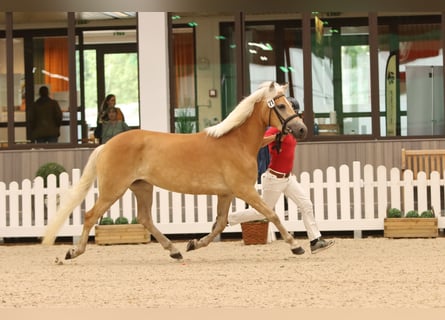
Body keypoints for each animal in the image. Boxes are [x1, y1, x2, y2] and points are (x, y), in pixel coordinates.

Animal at [41, 80, 306, 260]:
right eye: (281, 106)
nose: (301, 129)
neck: (236, 142)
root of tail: (107, 144)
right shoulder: (244, 190)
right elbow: (271, 214)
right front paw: (296, 245)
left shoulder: (226, 193)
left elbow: (220, 224)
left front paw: (193, 244)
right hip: (113, 189)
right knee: (90, 215)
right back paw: (74, 252)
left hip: (142, 187)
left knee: (145, 219)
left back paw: (174, 250)